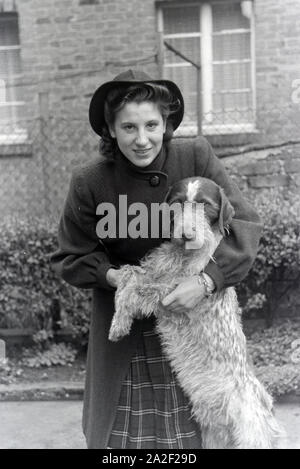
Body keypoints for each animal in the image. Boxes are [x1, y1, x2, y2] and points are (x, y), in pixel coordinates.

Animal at [108, 176, 284, 450]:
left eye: (207, 205)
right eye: (177, 203)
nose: (186, 234)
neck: (182, 256)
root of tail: (268, 410)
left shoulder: (171, 295)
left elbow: (134, 290)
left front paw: (119, 325)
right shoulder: (152, 276)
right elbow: (128, 276)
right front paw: (119, 319)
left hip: (250, 438)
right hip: (214, 437)